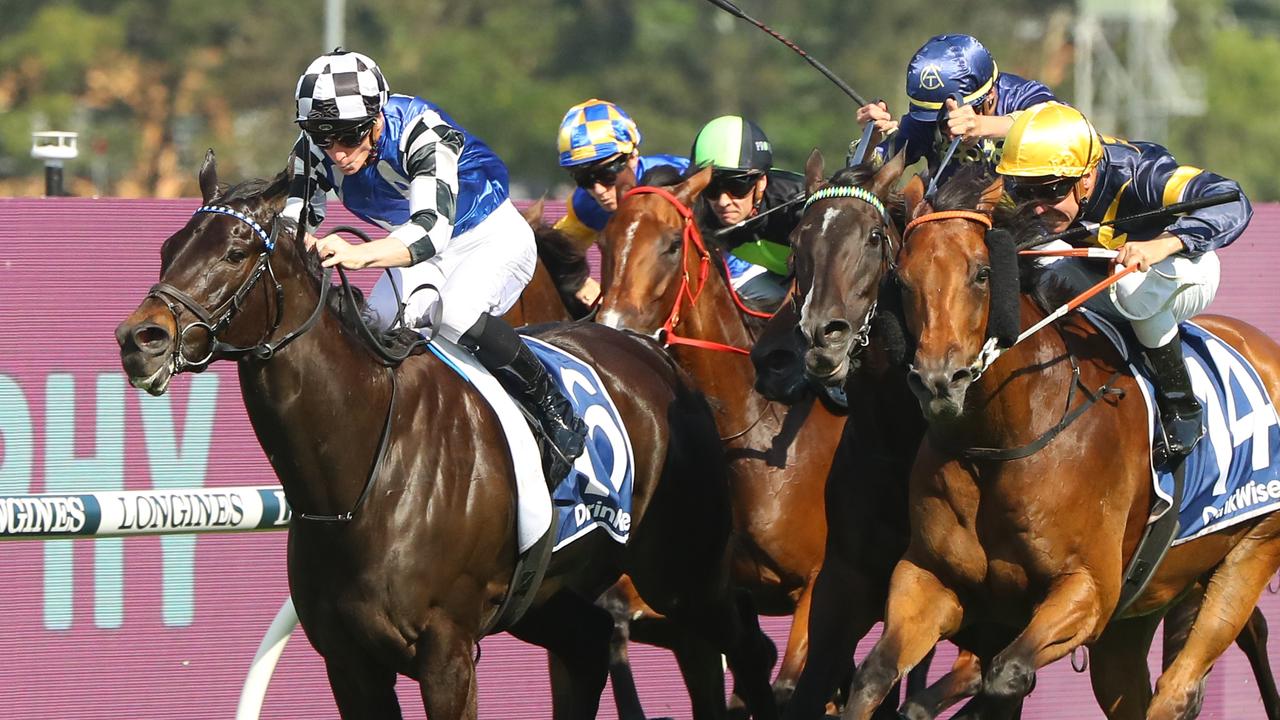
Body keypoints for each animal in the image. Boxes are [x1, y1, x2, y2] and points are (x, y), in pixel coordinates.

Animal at [117, 152, 778, 717]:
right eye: (169, 247)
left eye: (234, 252)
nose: (139, 339)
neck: (362, 473)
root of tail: (658, 357)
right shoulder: (349, 663)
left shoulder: (448, 656)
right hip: (550, 595)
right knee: (592, 646)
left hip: (686, 573)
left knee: (742, 651)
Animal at [593, 163, 855, 707]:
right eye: (606, 242)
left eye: (672, 244)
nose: (614, 327)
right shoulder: (716, 593)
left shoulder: (817, 585)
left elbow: (790, 684)